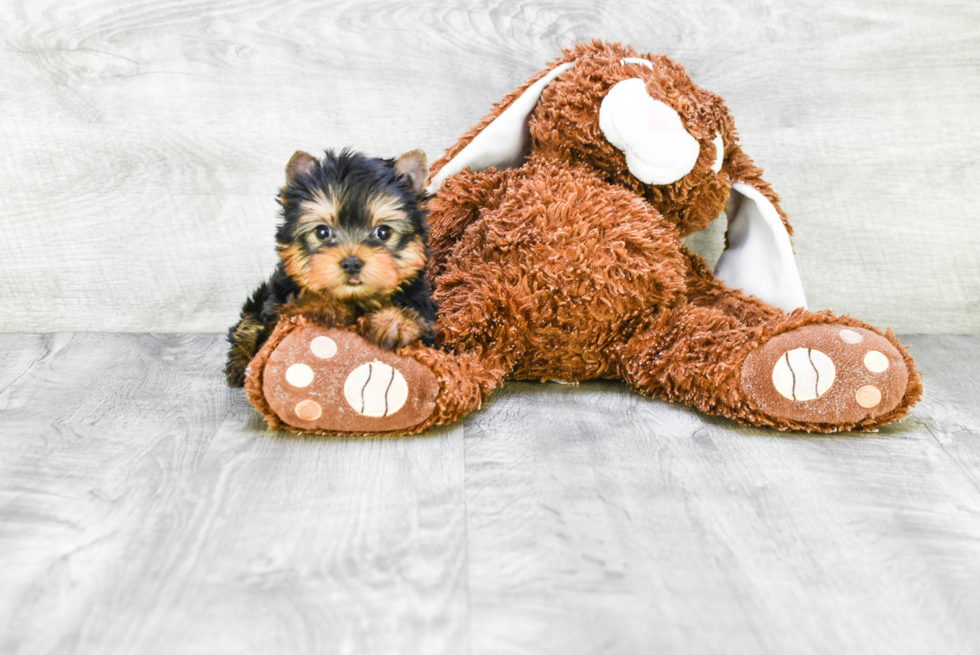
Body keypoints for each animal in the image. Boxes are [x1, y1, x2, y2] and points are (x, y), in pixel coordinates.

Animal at [228, 147, 434, 390]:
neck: (355, 298)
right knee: (247, 326)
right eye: (322, 232)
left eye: (383, 232)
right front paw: (325, 306)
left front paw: (395, 323)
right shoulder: (278, 309)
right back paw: (239, 367)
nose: (352, 263)